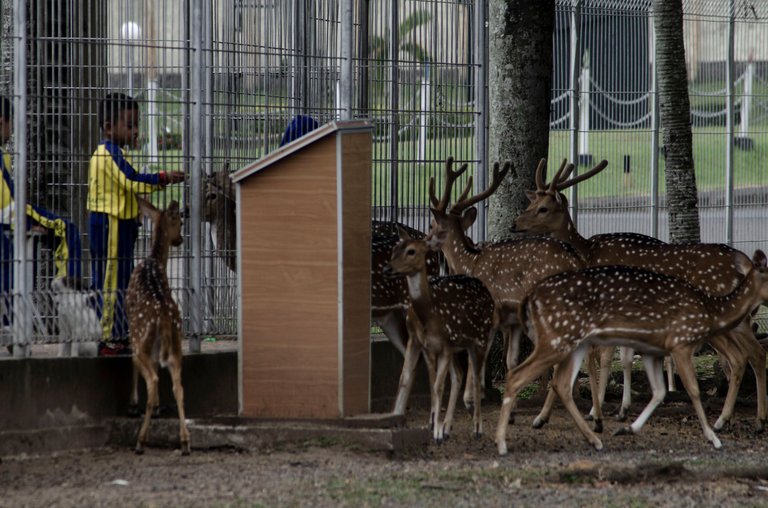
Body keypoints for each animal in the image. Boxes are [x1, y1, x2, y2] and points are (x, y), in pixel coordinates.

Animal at [382, 225, 498, 440]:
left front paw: (436, 431)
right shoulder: (428, 346)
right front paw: (434, 426)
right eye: (394, 250)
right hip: (460, 345)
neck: (430, 313)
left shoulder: (444, 345)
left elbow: (438, 385)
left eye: (411, 251)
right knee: (459, 374)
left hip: (480, 338)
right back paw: (447, 428)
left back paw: (477, 428)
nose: (387, 269)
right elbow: (429, 382)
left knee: (476, 376)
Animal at [496, 251, 768, 456]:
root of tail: (530, 298)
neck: (711, 311)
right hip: (558, 337)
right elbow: (693, 390)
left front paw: (627, 428)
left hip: (573, 342)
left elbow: (659, 392)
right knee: (517, 375)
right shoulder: (680, 341)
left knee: (560, 383)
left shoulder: (653, 351)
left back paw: (594, 439)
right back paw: (502, 442)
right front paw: (713, 437)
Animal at [512, 157, 764, 430]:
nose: (515, 225)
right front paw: (618, 409)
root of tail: (743, 263)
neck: (587, 253)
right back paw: (749, 418)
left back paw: (733, 419)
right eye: (531, 203)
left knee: (744, 356)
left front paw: (593, 411)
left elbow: (606, 356)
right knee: (754, 354)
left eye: (544, 208)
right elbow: (620, 356)